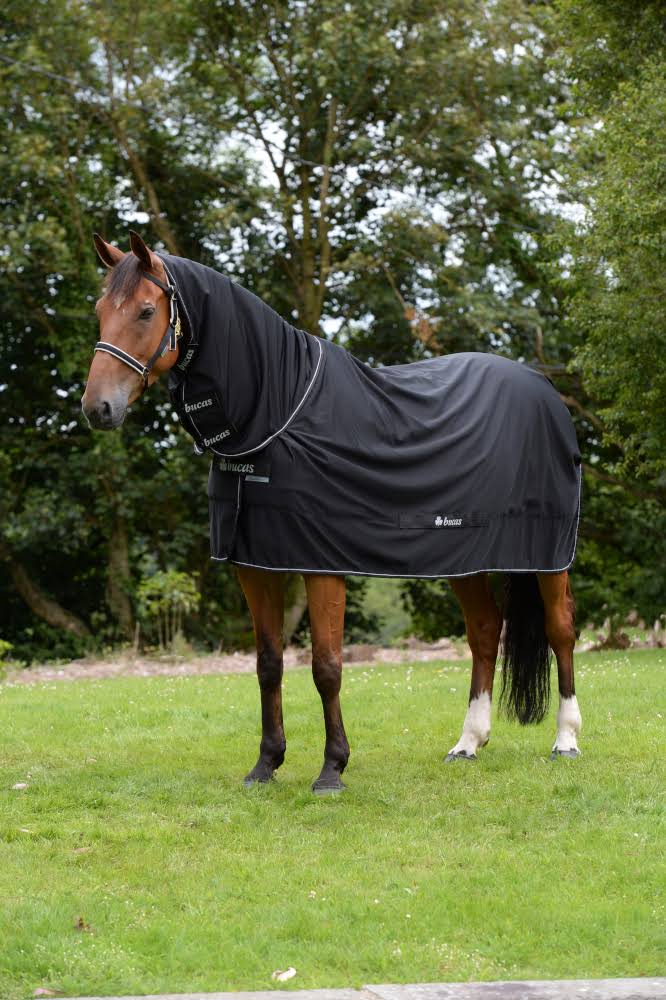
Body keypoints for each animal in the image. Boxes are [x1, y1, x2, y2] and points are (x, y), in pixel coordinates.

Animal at [82, 231, 582, 794]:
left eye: (147, 311)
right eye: (100, 310)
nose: (97, 408)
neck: (278, 411)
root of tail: (544, 390)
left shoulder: (321, 562)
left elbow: (326, 666)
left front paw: (332, 769)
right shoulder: (255, 564)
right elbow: (269, 664)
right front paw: (266, 764)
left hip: (548, 555)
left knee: (561, 629)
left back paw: (566, 739)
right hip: (463, 556)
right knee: (482, 632)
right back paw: (468, 743)